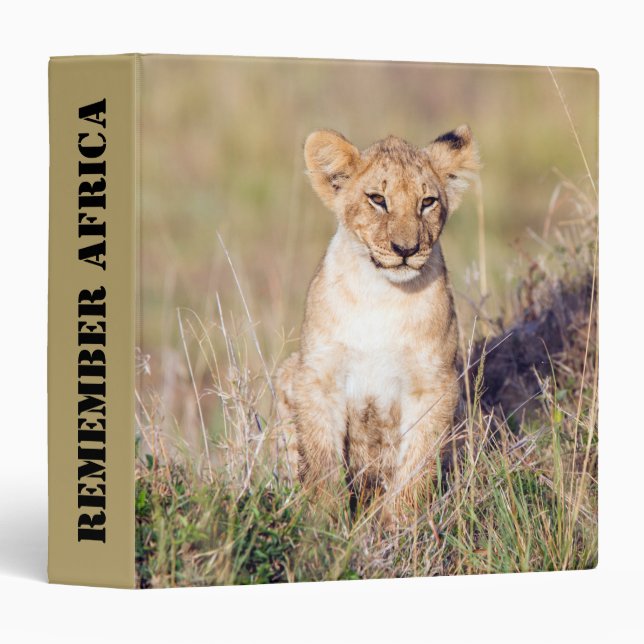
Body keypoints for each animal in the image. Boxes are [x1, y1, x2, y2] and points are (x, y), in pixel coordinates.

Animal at [275, 125, 480, 522]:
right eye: (377, 199)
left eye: (427, 202)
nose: (406, 250)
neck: (382, 294)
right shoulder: (317, 376)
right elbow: (321, 461)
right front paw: (324, 523)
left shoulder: (434, 384)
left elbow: (417, 464)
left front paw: (400, 525)